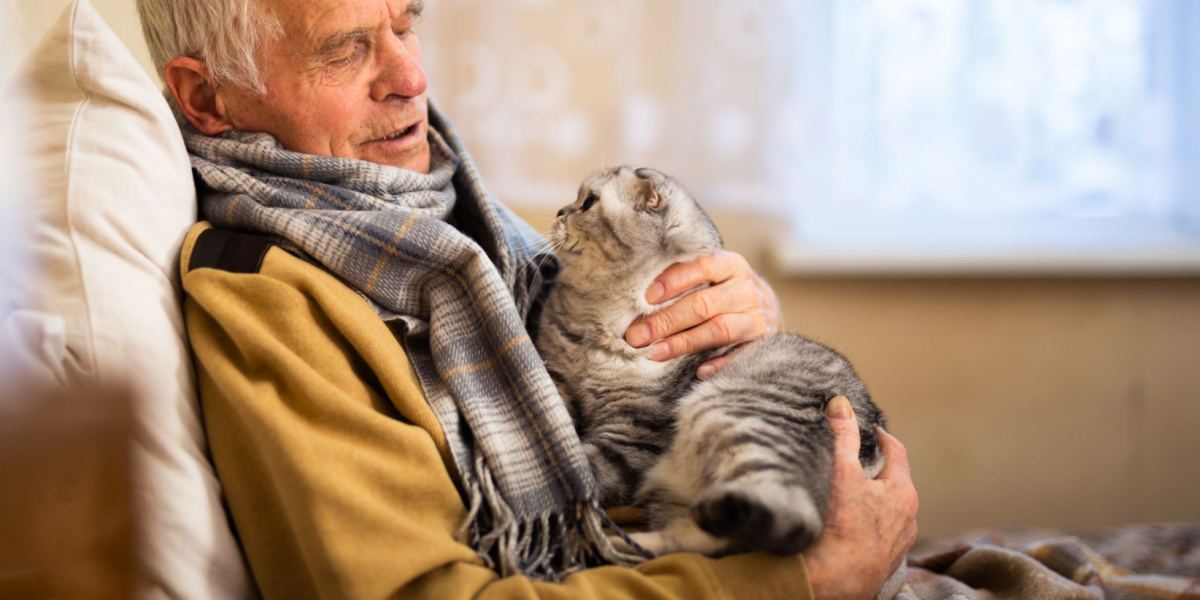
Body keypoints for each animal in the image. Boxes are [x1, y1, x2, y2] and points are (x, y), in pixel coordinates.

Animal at [537, 165, 892, 556]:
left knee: (790, 519)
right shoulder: (558, 377)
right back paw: (632, 541)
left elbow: (582, 469)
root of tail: (874, 449)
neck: (591, 319)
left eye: (588, 202)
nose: (560, 211)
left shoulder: (632, 433)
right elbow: (558, 414)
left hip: (732, 414)